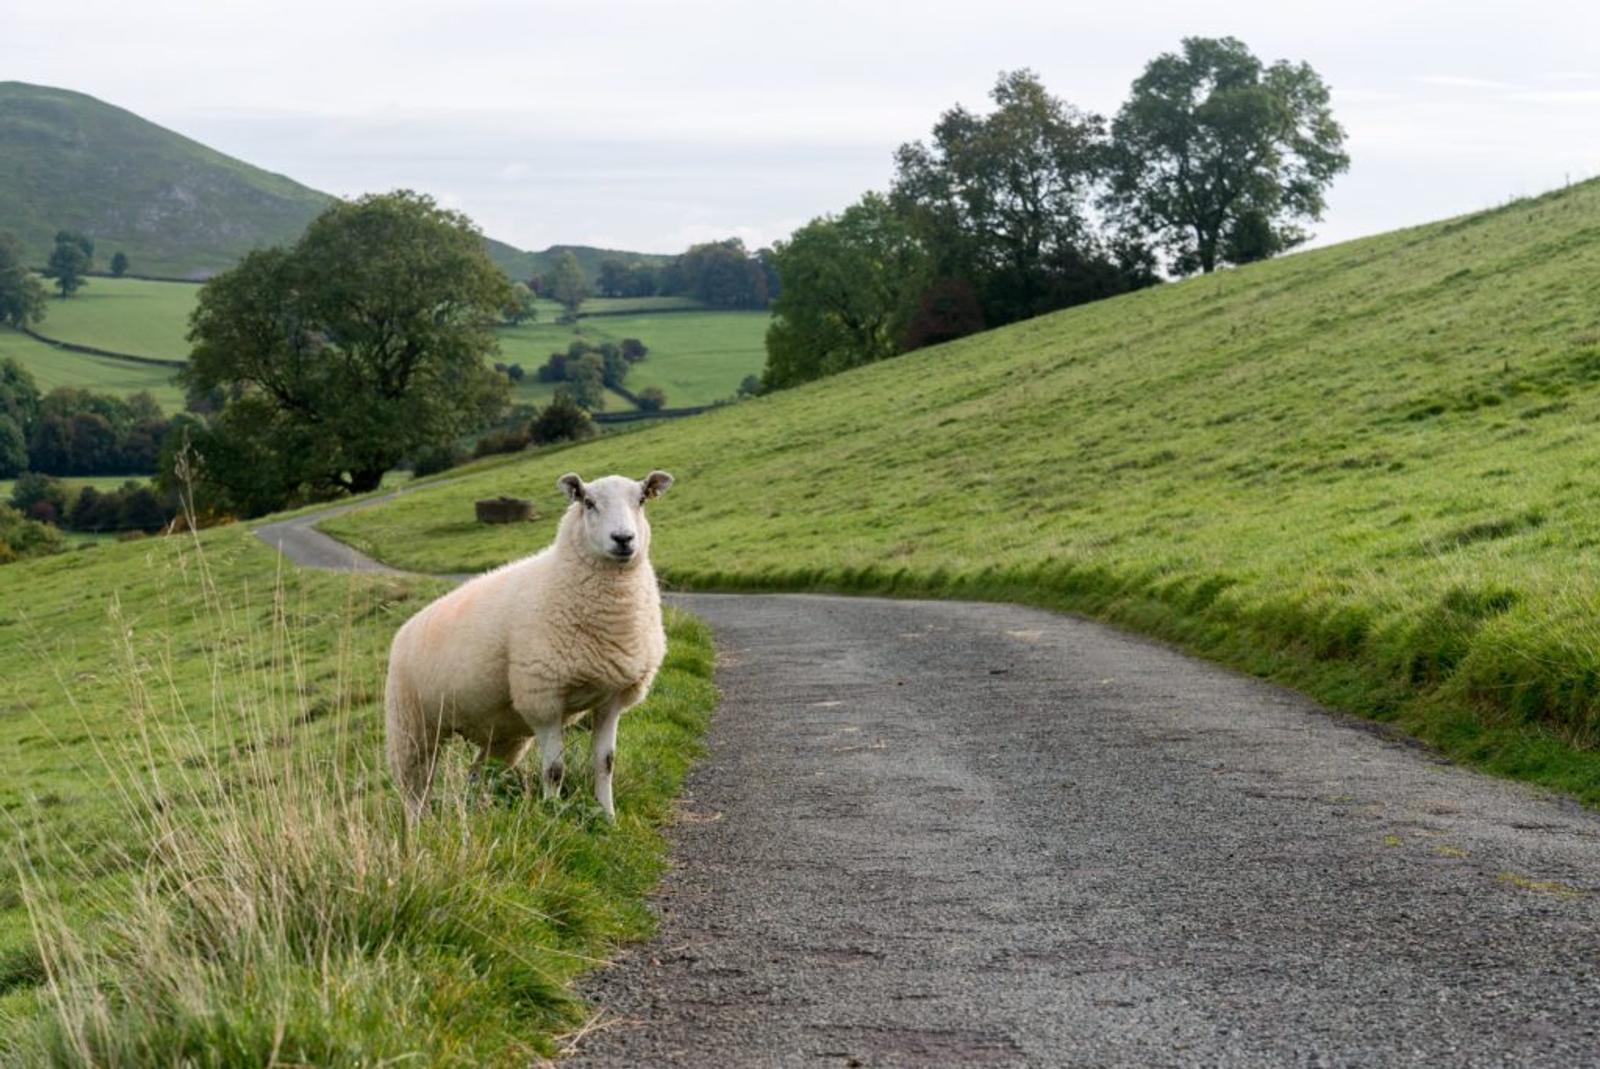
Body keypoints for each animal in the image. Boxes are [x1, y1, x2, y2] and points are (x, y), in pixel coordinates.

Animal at [384, 469, 675, 823]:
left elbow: (605, 764)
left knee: (478, 773)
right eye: (588, 502)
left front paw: (608, 818)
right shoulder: (543, 698)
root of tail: (406, 627)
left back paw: (478, 813)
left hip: (502, 732)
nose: (623, 539)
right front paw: (554, 816)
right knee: (414, 788)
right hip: (410, 725)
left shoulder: (611, 697)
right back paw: (419, 829)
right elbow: (554, 770)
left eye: (642, 499)